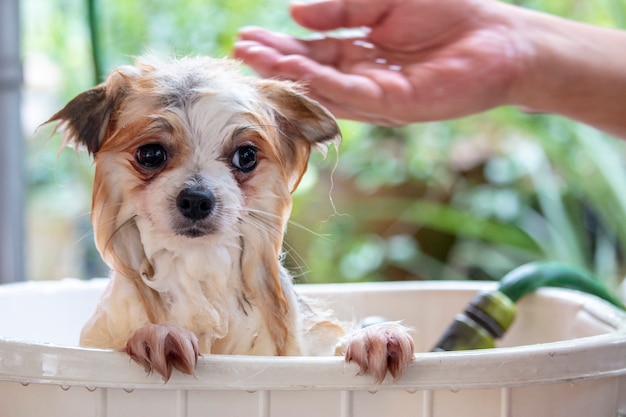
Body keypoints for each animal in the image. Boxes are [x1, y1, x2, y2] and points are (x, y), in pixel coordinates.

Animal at [47, 57, 410, 382]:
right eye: (150, 154)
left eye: (246, 156)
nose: (196, 199)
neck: (200, 265)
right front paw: (157, 335)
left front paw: (372, 338)